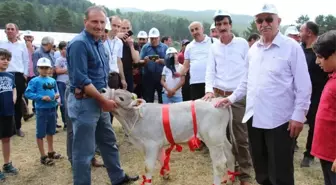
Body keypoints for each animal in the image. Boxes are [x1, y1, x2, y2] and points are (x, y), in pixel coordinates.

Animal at [105, 89, 236, 184]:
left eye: (121, 98)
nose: (102, 90)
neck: (136, 119)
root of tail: (217, 100)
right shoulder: (157, 144)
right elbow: (162, 158)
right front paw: (166, 175)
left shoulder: (151, 144)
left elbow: (148, 167)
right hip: (220, 138)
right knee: (230, 152)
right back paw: (230, 178)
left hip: (213, 139)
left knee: (219, 163)